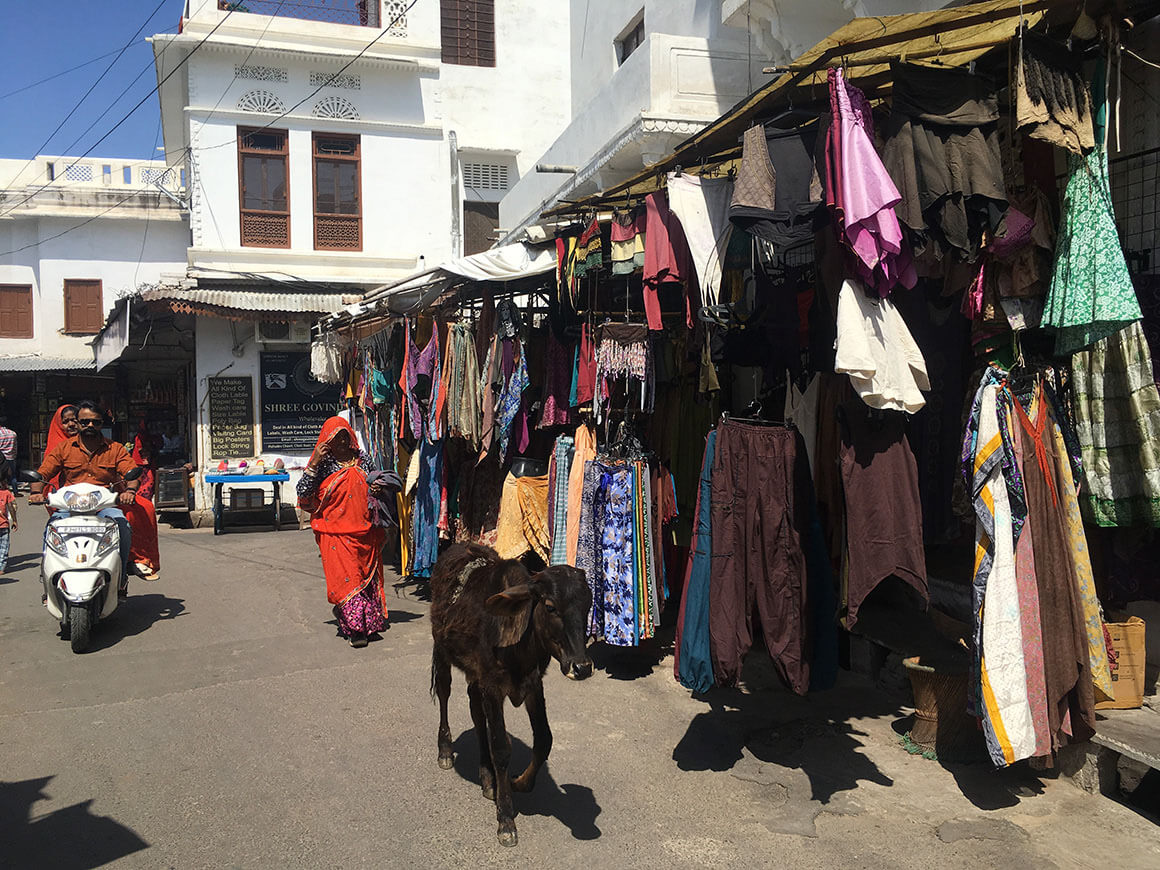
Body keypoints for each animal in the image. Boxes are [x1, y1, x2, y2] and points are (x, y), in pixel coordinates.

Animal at [429, 542, 593, 849]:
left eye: (588, 605)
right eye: (550, 606)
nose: (582, 666)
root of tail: (460, 546)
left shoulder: (532, 685)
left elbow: (544, 738)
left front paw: (519, 783)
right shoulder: (493, 687)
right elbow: (502, 748)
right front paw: (506, 818)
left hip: (475, 677)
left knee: (476, 713)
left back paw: (487, 777)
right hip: (441, 651)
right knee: (444, 693)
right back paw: (445, 749)